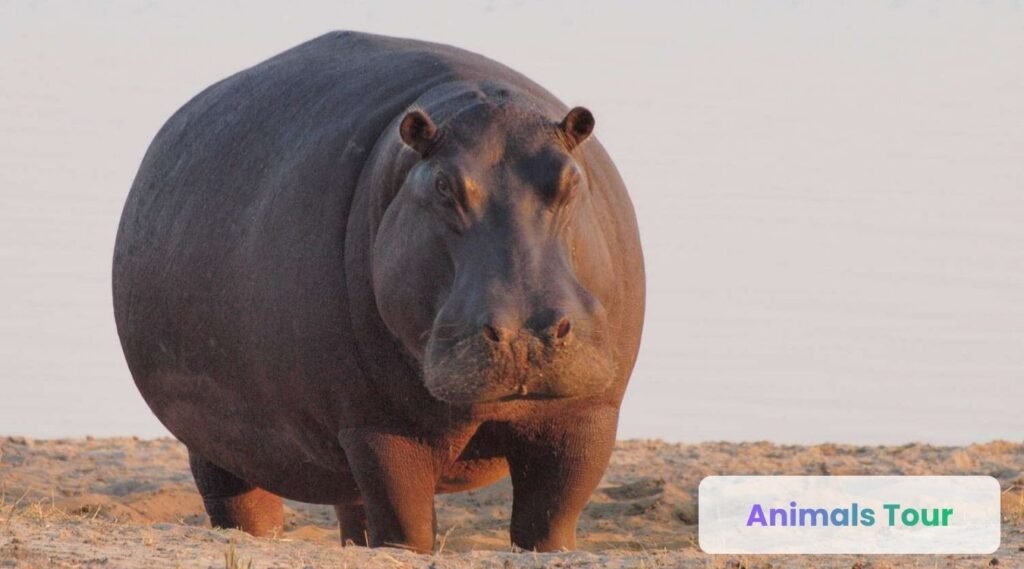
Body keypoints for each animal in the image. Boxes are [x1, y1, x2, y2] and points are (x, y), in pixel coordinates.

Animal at [112, 31, 644, 552]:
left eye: (571, 179)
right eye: (443, 186)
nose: (525, 335)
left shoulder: (587, 417)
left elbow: (551, 522)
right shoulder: (378, 427)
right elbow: (406, 527)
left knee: (355, 511)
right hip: (217, 443)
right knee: (243, 504)